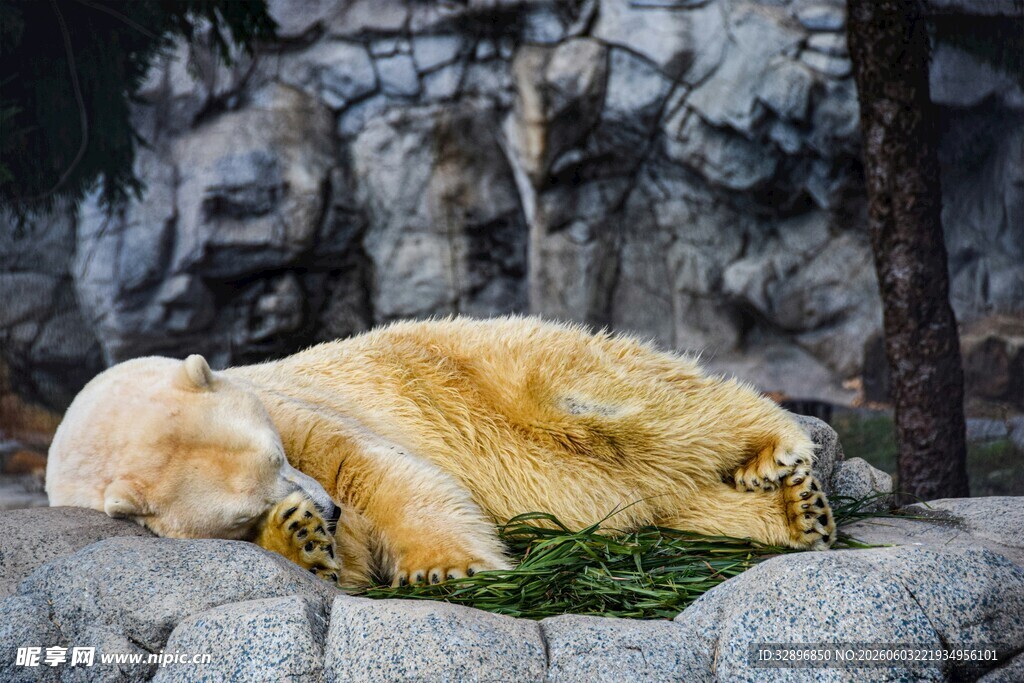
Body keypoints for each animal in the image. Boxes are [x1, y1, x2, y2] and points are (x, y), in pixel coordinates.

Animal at [46, 316, 834, 587]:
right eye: (242, 511)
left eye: (276, 454)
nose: (326, 509)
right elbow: (347, 559)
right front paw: (302, 535)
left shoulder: (298, 405)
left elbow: (374, 467)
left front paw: (446, 566)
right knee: (655, 495)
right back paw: (794, 516)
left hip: (489, 365)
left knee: (632, 412)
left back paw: (779, 457)